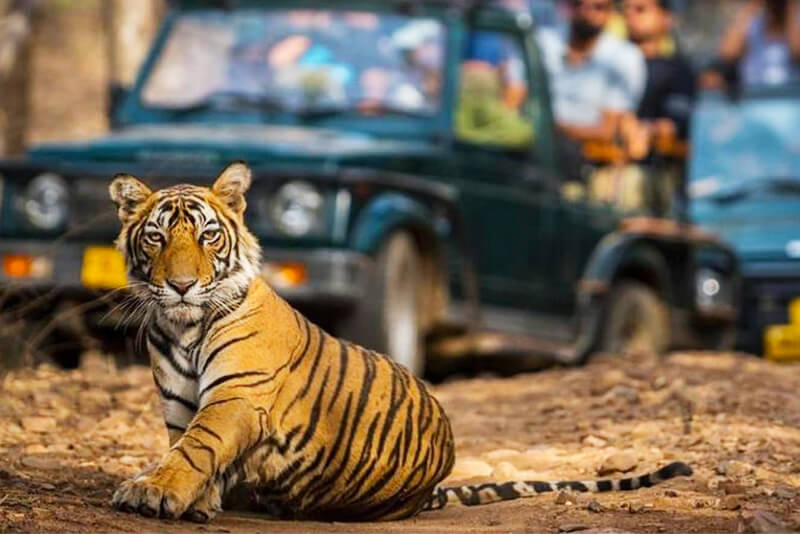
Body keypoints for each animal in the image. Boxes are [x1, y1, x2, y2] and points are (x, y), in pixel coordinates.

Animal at [108, 161, 693, 523]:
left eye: (208, 235)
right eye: (156, 237)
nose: (182, 285)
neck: (183, 326)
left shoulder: (237, 395)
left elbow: (196, 448)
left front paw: (153, 491)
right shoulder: (180, 403)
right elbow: (185, 447)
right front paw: (192, 499)